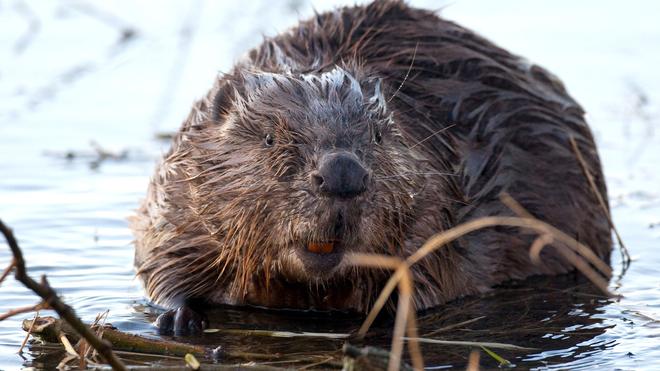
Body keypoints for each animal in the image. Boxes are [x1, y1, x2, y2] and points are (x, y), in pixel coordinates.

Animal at [130, 0, 612, 336]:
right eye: (269, 138)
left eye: (378, 137)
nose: (343, 174)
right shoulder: (177, 197)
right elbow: (160, 264)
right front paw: (177, 318)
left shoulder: (436, 208)